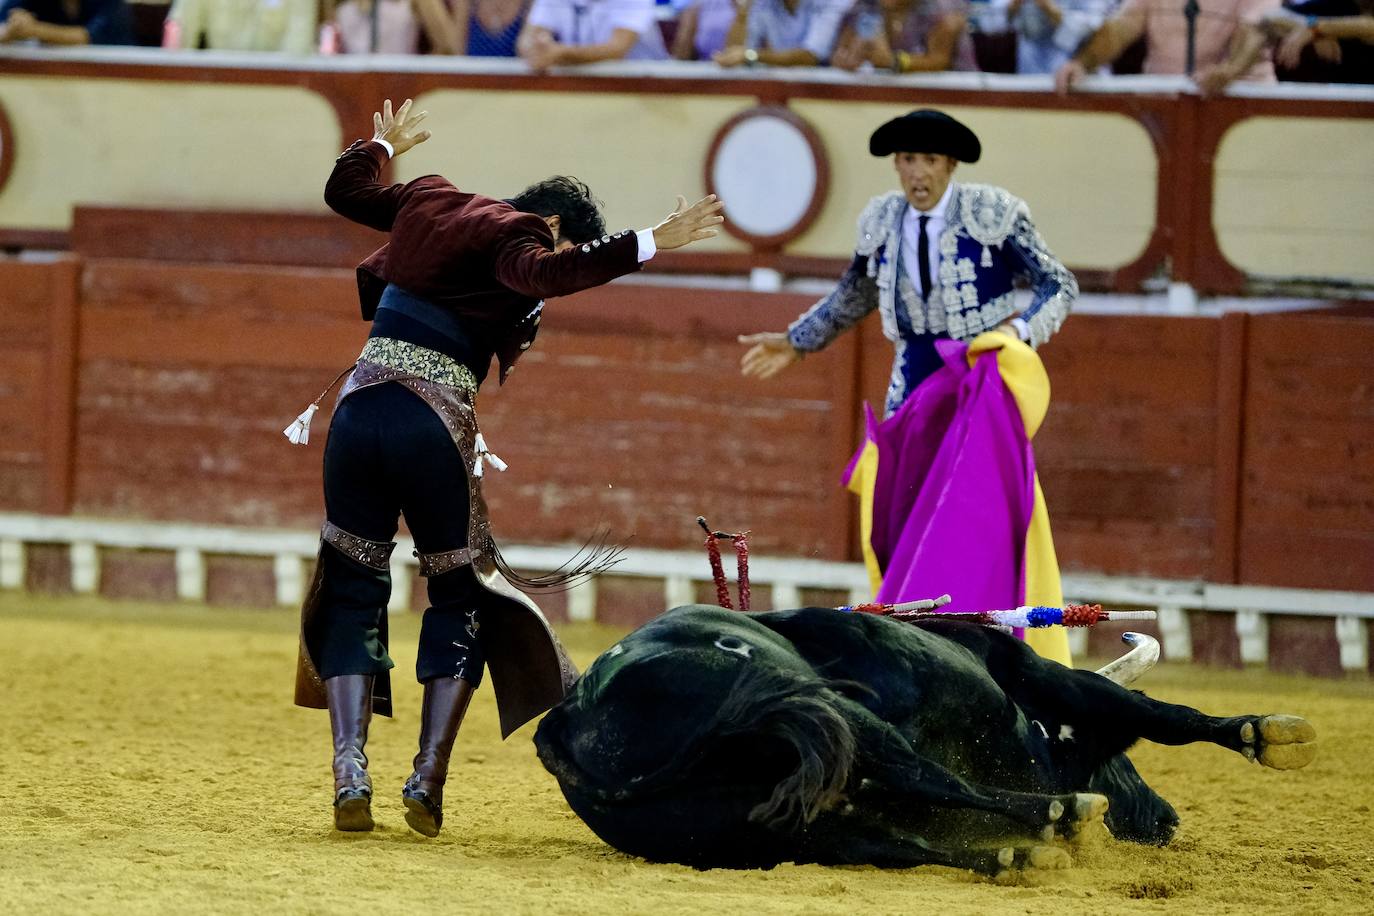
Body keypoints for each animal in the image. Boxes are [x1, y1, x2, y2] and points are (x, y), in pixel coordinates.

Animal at [530, 604, 1313, 878]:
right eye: (1120, 767)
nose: (1165, 820)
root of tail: (569, 718)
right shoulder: (1048, 679)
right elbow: (1162, 714)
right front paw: (1272, 734)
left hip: (761, 831)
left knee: (890, 839)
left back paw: (1015, 855)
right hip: (821, 710)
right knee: (922, 777)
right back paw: (1057, 818)